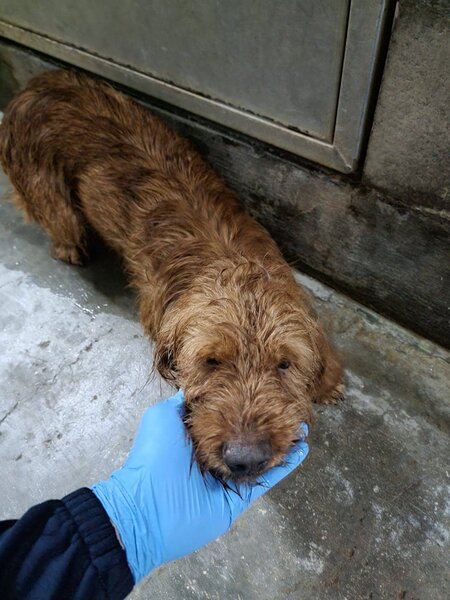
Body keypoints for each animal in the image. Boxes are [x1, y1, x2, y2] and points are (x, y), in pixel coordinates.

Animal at [0, 70, 343, 481]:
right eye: (210, 361)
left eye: (285, 363)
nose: (245, 460)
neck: (227, 257)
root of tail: (37, 82)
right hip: (53, 198)